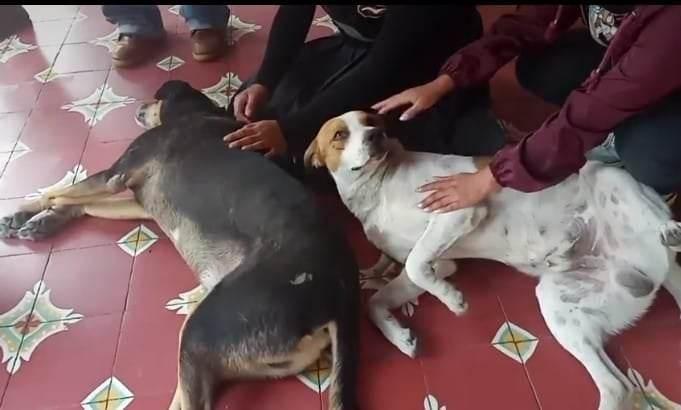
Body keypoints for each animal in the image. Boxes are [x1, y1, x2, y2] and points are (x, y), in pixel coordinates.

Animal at [306, 110, 680, 408]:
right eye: (340, 134)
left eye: (372, 122)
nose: (376, 135)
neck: (379, 187)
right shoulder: (439, 263)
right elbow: (376, 302)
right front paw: (401, 337)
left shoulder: (457, 213)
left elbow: (414, 265)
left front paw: (453, 301)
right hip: (561, 306)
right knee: (617, 385)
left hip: (609, 176)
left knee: (653, 215)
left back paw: (669, 229)